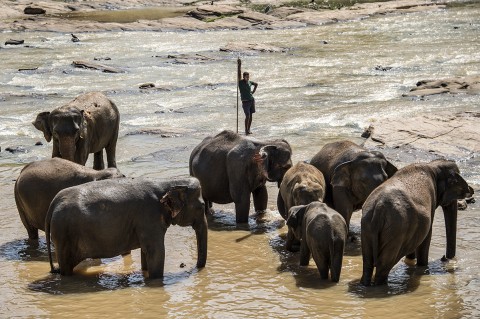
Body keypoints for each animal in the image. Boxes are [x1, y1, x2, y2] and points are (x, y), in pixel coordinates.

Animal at [45, 176, 208, 278]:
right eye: (202, 207)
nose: (192, 267)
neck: (168, 182)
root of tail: (53, 203)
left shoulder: (144, 223)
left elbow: (146, 251)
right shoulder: (149, 217)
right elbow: (156, 251)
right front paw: (155, 279)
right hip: (63, 235)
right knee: (66, 267)